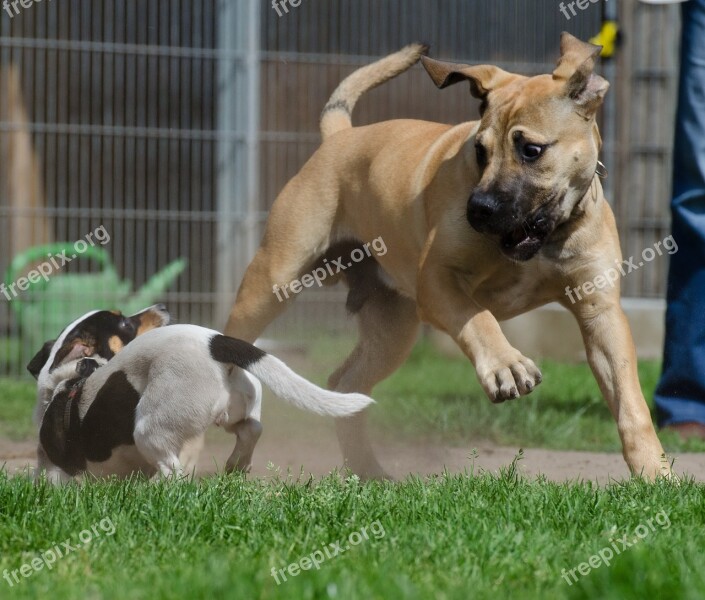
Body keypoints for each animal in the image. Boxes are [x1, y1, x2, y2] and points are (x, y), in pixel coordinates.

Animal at [28, 308, 372, 480]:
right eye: (125, 323)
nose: (162, 307)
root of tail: (216, 341)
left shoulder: (59, 472)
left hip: (149, 428)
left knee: (173, 473)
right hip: (231, 408)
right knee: (251, 428)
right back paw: (236, 465)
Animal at [226, 34, 672, 482]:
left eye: (531, 150)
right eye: (480, 150)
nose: (478, 210)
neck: (546, 238)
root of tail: (339, 137)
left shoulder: (601, 313)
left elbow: (630, 402)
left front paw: (654, 471)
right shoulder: (438, 281)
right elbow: (480, 318)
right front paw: (506, 365)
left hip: (392, 330)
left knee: (344, 382)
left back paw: (367, 469)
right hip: (272, 282)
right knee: (235, 355)